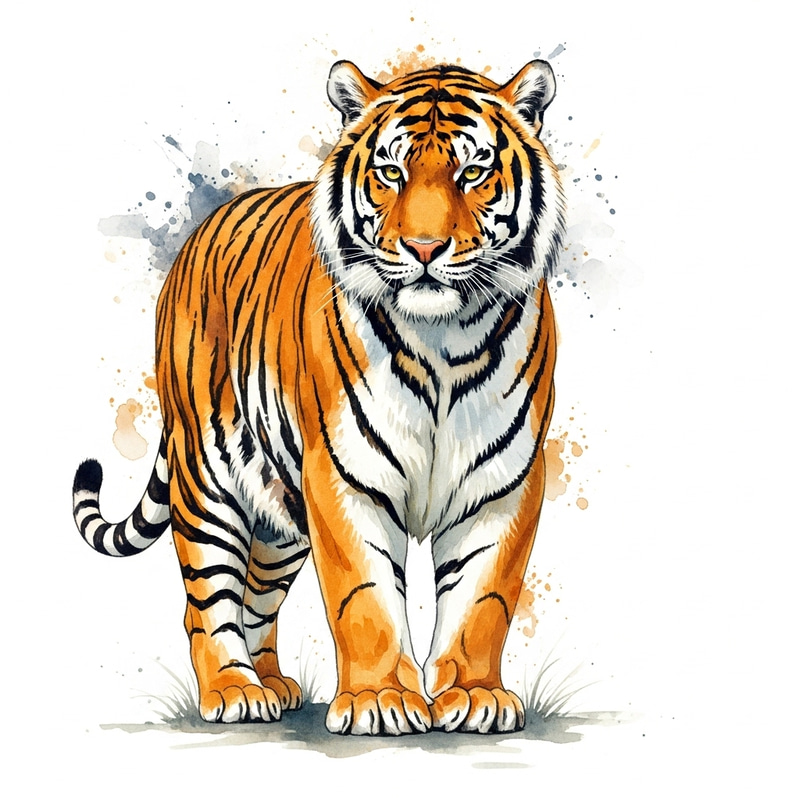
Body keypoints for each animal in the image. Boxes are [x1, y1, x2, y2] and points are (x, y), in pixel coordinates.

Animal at [72, 57, 566, 736]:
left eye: (473, 172)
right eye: (391, 172)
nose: (425, 248)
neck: (443, 337)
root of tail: (201, 233)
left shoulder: (504, 482)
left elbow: (482, 599)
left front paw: (475, 695)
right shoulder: (344, 475)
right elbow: (365, 595)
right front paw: (380, 700)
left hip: (281, 513)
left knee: (256, 596)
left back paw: (273, 686)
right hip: (206, 478)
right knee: (207, 601)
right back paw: (233, 690)